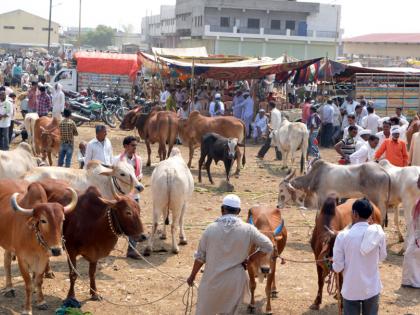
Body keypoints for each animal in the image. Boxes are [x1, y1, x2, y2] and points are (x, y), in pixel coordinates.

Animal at [0, 180, 77, 315]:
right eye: (43, 220)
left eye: (62, 219)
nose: (57, 250)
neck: (33, 239)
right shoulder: (22, 259)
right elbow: (28, 284)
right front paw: (27, 309)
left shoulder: (43, 258)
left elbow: (39, 280)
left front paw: (41, 301)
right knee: (7, 263)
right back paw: (9, 288)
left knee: (7, 259)